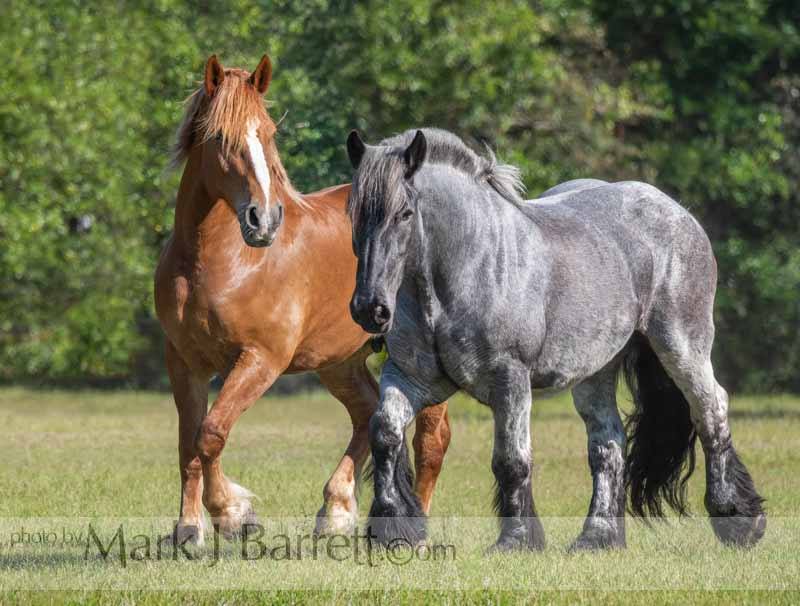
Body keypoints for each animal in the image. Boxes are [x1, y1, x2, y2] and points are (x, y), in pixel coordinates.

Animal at [155, 54, 450, 544]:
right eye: (218, 138)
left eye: (269, 133)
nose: (264, 219)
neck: (219, 263)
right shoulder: (184, 362)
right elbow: (187, 443)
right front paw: (189, 530)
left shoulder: (261, 359)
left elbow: (211, 433)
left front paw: (233, 513)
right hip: (339, 361)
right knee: (367, 413)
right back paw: (336, 510)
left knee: (431, 438)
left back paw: (415, 529)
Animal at [346, 129, 768, 556]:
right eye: (354, 213)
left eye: (404, 214)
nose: (370, 308)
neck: (465, 269)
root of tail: (677, 212)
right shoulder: (411, 377)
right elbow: (384, 432)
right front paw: (393, 528)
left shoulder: (509, 378)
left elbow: (511, 460)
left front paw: (516, 540)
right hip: (596, 371)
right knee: (607, 444)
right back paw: (597, 537)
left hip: (680, 345)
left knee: (711, 410)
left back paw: (737, 518)